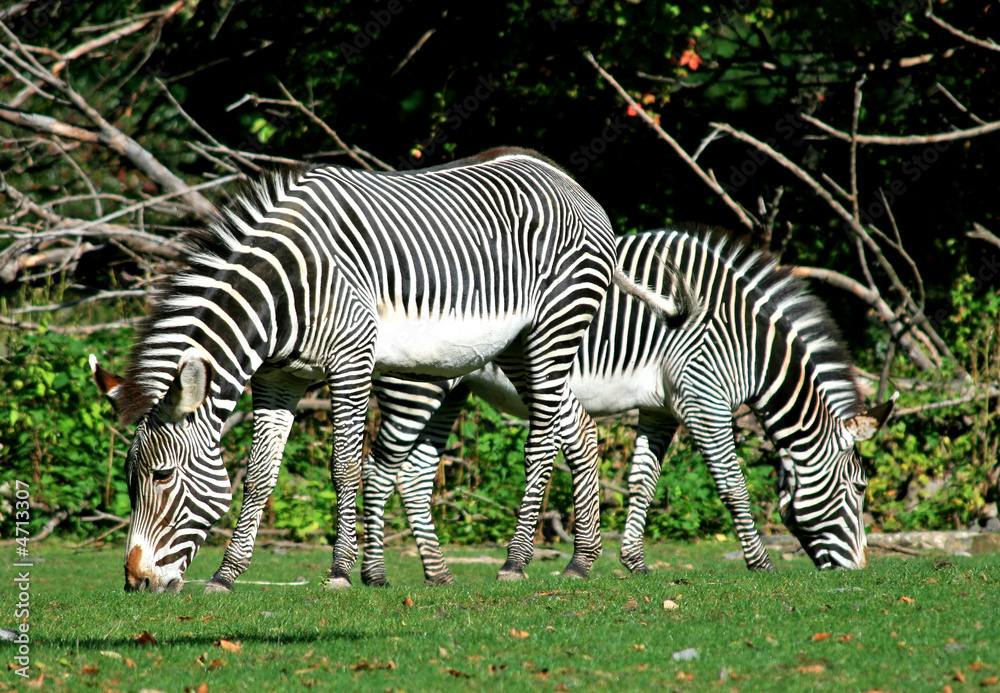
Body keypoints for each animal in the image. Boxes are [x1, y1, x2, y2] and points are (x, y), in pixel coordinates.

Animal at [90, 148, 694, 593]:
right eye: (129, 479)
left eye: (162, 477)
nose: (135, 583)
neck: (286, 289)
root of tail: (569, 181)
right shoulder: (279, 377)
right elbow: (259, 476)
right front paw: (227, 576)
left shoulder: (352, 359)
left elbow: (345, 468)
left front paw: (341, 573)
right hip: (517, 347)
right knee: (579, 427)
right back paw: (581, 561)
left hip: (555, 327)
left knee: (543, 438)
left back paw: (516, 562)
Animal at [357, 228, 896, 586]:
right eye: (860, 487)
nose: (860, 573)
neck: (749, 343)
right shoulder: (705, 399)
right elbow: (733, 486)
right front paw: (760, 563)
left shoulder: (662, 408)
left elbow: (643, 482)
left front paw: (634, 562)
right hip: (415, 385)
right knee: (382, 466)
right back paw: (372, 574)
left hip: (451, 388)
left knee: (415, 475)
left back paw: (438, 573)